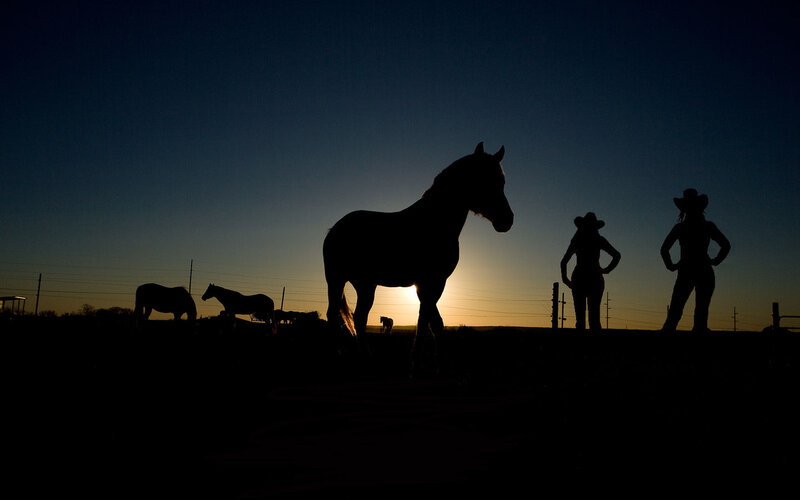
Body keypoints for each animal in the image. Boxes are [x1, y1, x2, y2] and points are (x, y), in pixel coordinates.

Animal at [323, 142, 513, 358]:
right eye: (482, 178)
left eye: (502, 181)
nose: (507, 220)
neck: (432, 222)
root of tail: (334, 229)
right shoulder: (431, 282)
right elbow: (430, 322)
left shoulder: (431, 284)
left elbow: (430, 322)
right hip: (336, 279)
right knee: (334, 315)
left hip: (365, 284)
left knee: (359, 317)